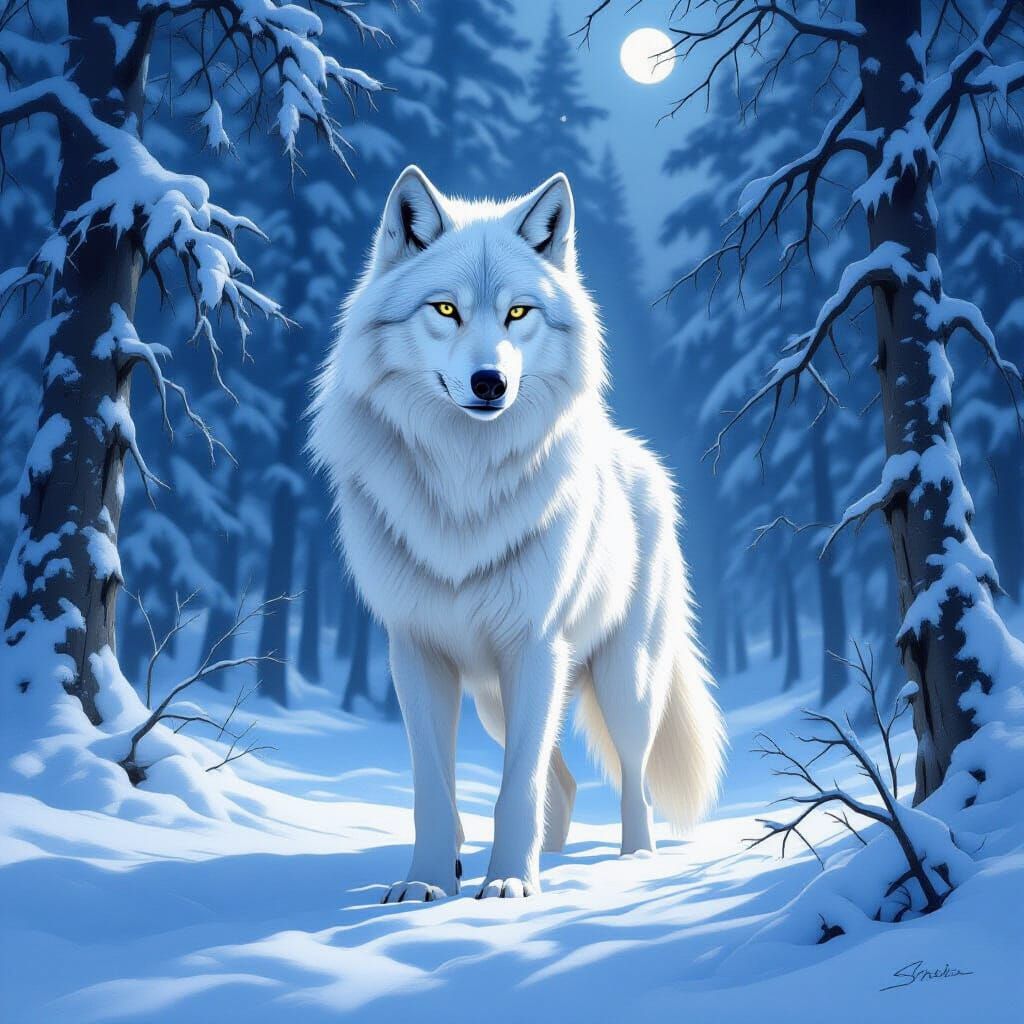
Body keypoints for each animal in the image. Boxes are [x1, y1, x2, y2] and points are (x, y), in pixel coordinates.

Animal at [309, 166, 725, 901]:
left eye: (519, 314)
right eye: (445, 310)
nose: (489, 382)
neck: (463, 483)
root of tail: (642, 457)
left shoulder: (534, 647)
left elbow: (515, 790)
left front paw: (507, 886)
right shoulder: (415, 652)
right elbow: (434, 790)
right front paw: (425, 883)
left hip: (623, 682)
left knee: (631, 782)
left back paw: (630, 863)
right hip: (494, 702)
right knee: (563, 781)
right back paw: (547, 860)